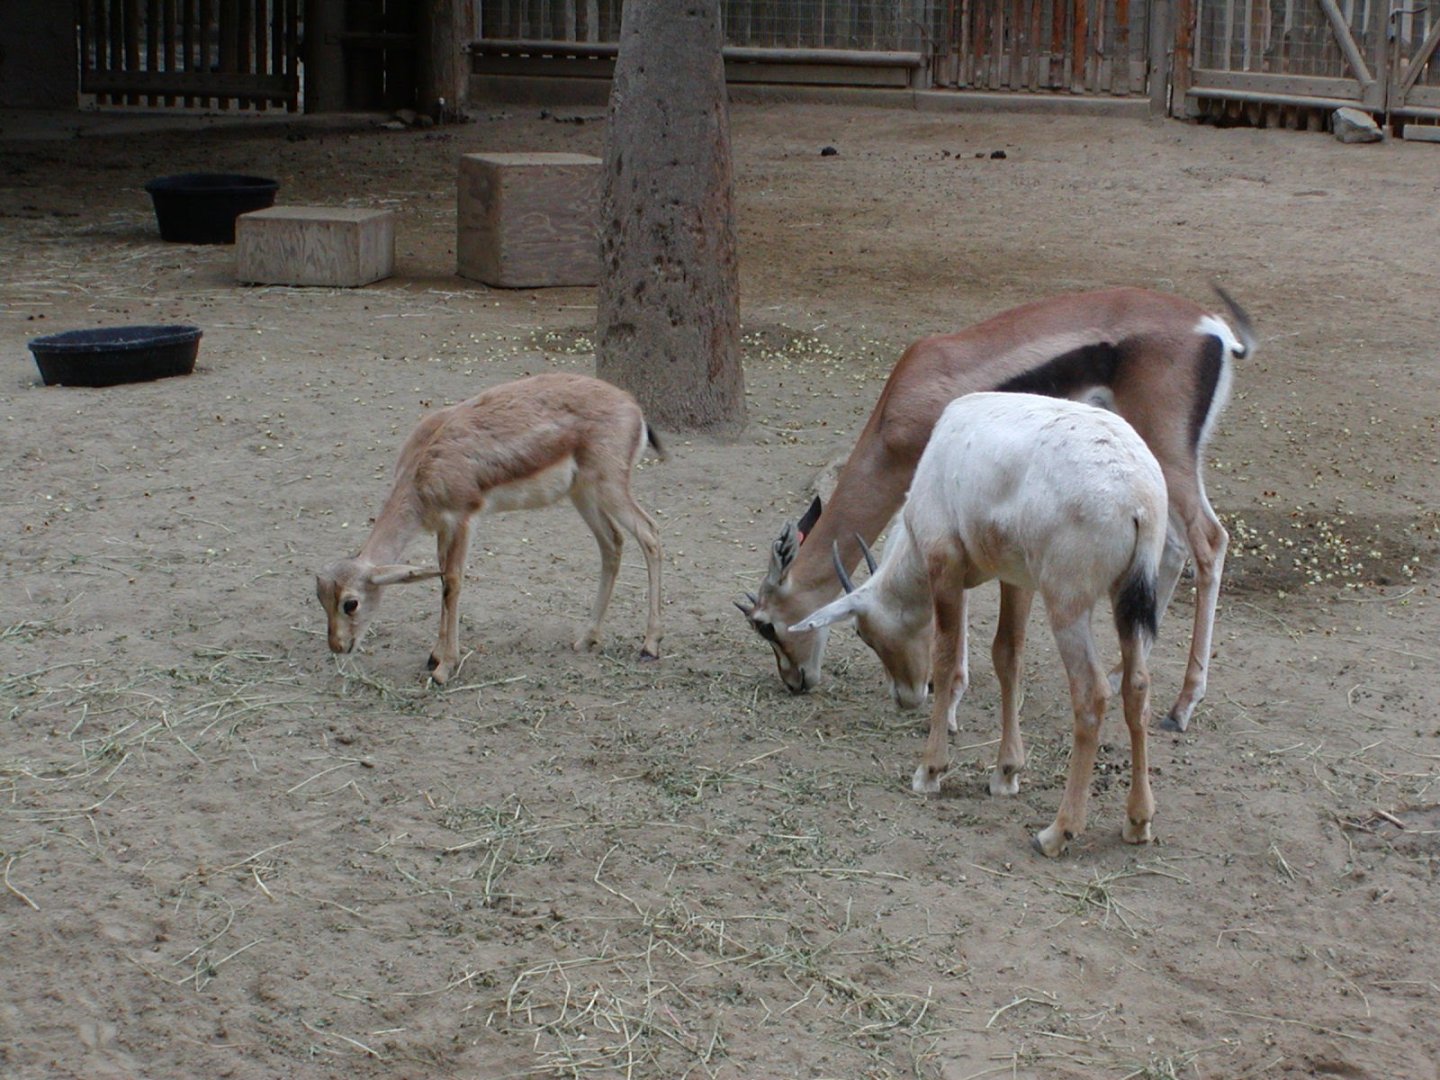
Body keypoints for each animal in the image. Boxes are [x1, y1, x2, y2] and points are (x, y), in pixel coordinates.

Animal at [315, 372, 664, 683]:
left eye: (350, 603)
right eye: (320, 598)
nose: (338, 646)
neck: (424, 464)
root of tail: (633, 407)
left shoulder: (463, 520)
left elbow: (452, 583)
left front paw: (444, 669)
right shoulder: (443, 527)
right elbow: (441, 579)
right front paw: (434, 656)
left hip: (609, 488)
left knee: (650, 532)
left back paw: (649, 646)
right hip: (584, 494)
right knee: (612, 543)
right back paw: (586, 638)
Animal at [739, 286, 1255, 733]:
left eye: (765, 627)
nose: (794, 681)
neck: (899, 409)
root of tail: (1213, 328)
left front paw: (948, 701)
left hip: (1166, 455)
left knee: (1210, 542)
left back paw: (1182, 707)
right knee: (1172, 549)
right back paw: (1117, 674)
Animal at [792, 392, 1168, 857]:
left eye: (864, 634)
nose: (904, 697)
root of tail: (1140, 498)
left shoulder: (945, 564)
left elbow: (946, 658)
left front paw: (929, 771)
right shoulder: (1015, 578)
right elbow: (1007, 657)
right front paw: (1006, 773)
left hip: (1067, 602)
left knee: (1092, 693)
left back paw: (1057, 832)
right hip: (1126, 600)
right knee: (1137, 687)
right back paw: (1138, 820)